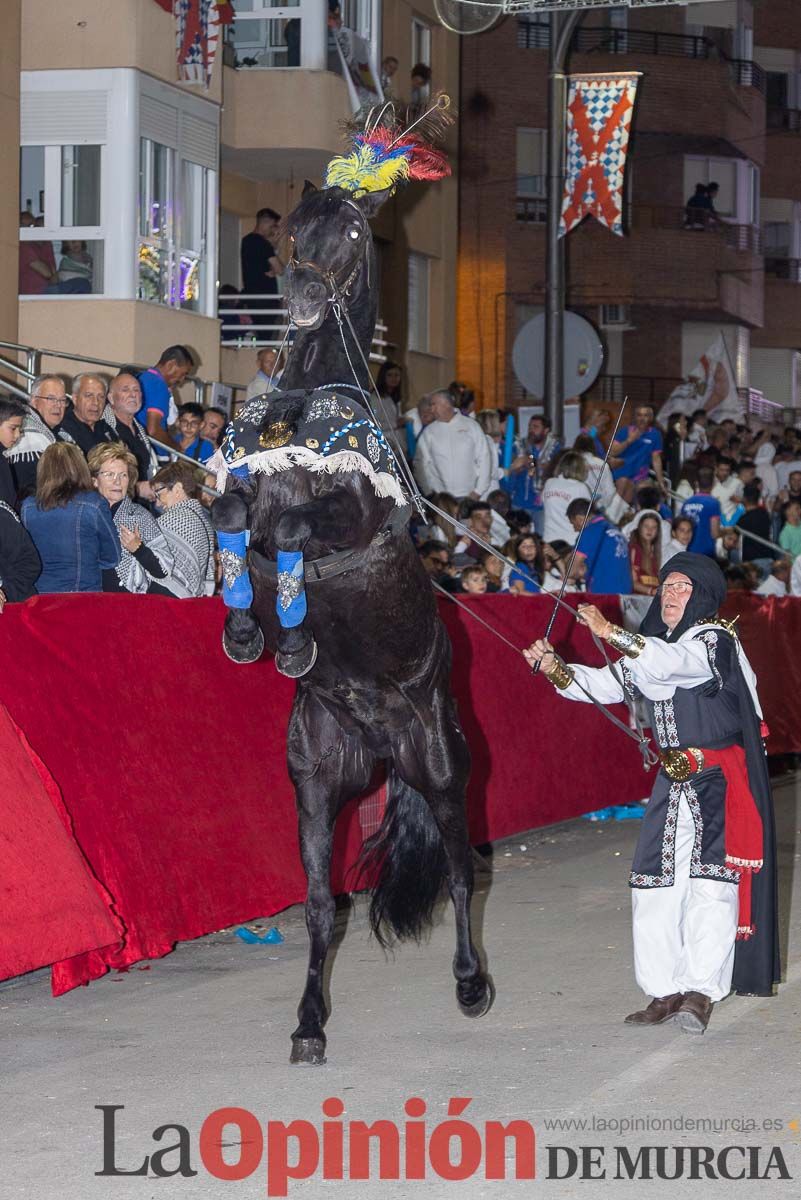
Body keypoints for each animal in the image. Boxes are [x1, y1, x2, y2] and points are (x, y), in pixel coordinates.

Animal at [209, 124, 491, 1060]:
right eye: (293, 227)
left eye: (358, 232)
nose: (296, 298)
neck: (305, 409)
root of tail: (382, 745)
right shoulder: (244, 488)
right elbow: (231, 512)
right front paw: (248, 631)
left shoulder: (350, 514)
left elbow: (299, 528)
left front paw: (291, 633)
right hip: (317, 780)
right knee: (322, 906)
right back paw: (307, 1025)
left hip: (440, 766)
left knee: (462, 871)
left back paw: (472, 986)